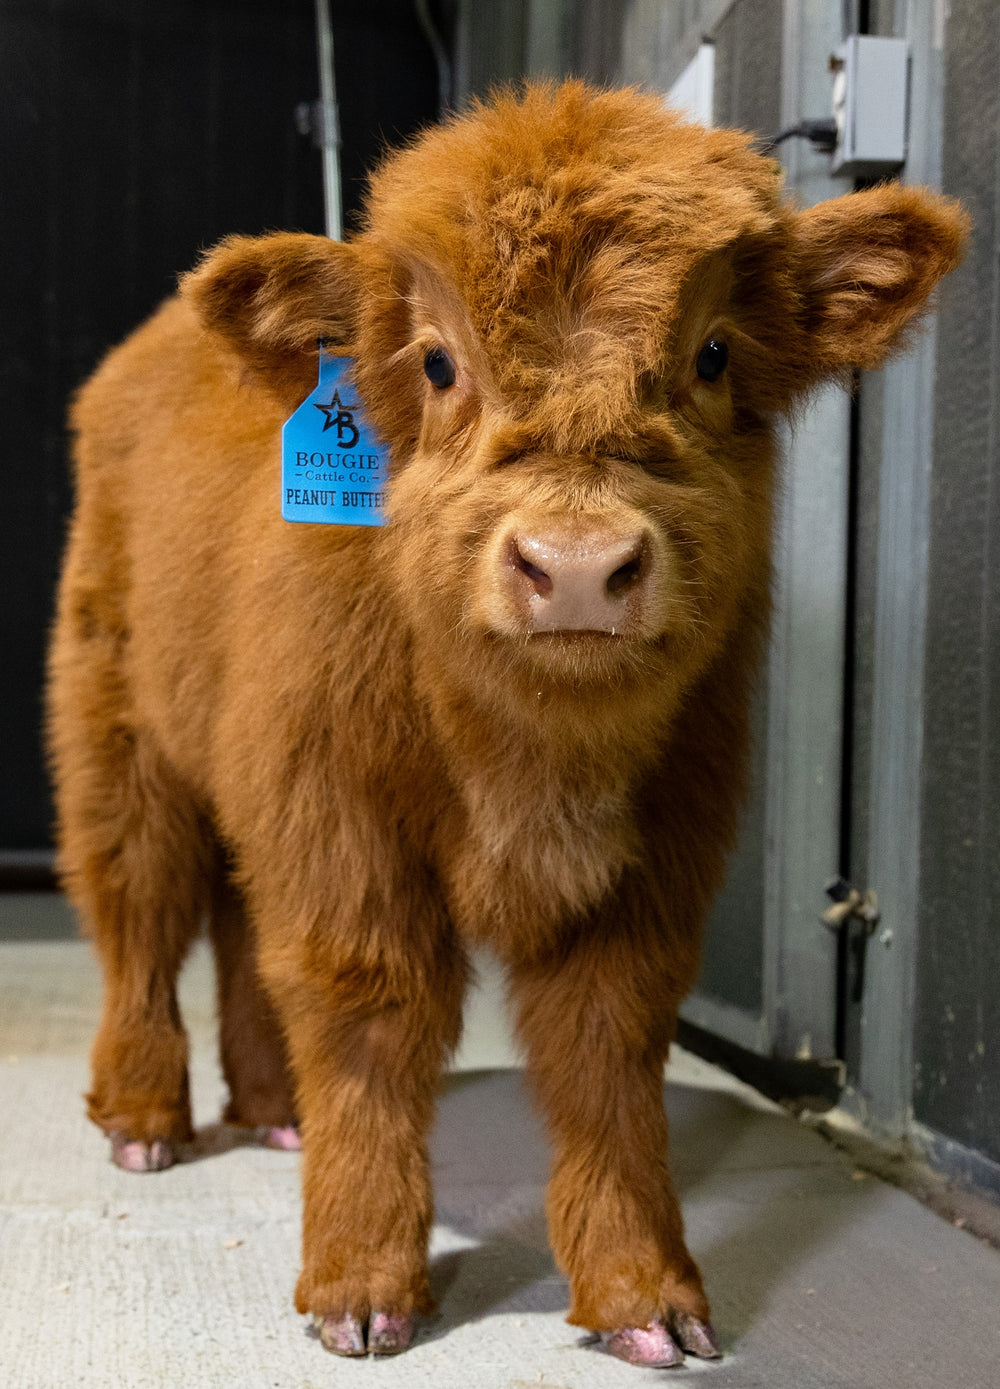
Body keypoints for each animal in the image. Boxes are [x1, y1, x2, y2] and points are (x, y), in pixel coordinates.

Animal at [47, 82, 966, 1368]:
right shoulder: (344, 835)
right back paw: (143, 1118)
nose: (575, 567)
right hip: (118, 733)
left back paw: (275, 1112)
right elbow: (369, 1022)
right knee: (138, 909)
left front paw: (646, 1295)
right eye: (435, 360)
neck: (529, 757)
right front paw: (361, 1285)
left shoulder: (656, 855)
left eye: (713, 353)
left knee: (231, 927)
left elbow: (605, 1055)